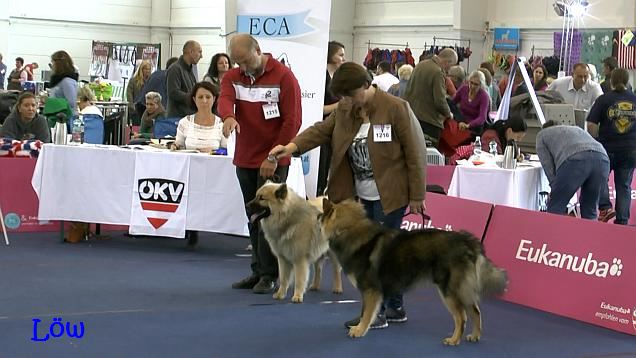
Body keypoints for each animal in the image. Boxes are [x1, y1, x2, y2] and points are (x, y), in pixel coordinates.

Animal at [320, 199, 510, 344]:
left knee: (461, 317)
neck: (349, 229)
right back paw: (475, 336)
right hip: (461, 289)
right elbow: (365, 312)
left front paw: (359, 330)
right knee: (475, 311)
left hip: (449, 290)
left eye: (322, 216)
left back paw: (454, 340)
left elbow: (366, 313)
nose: (317, 216)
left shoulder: (370, 290)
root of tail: (467, 241)